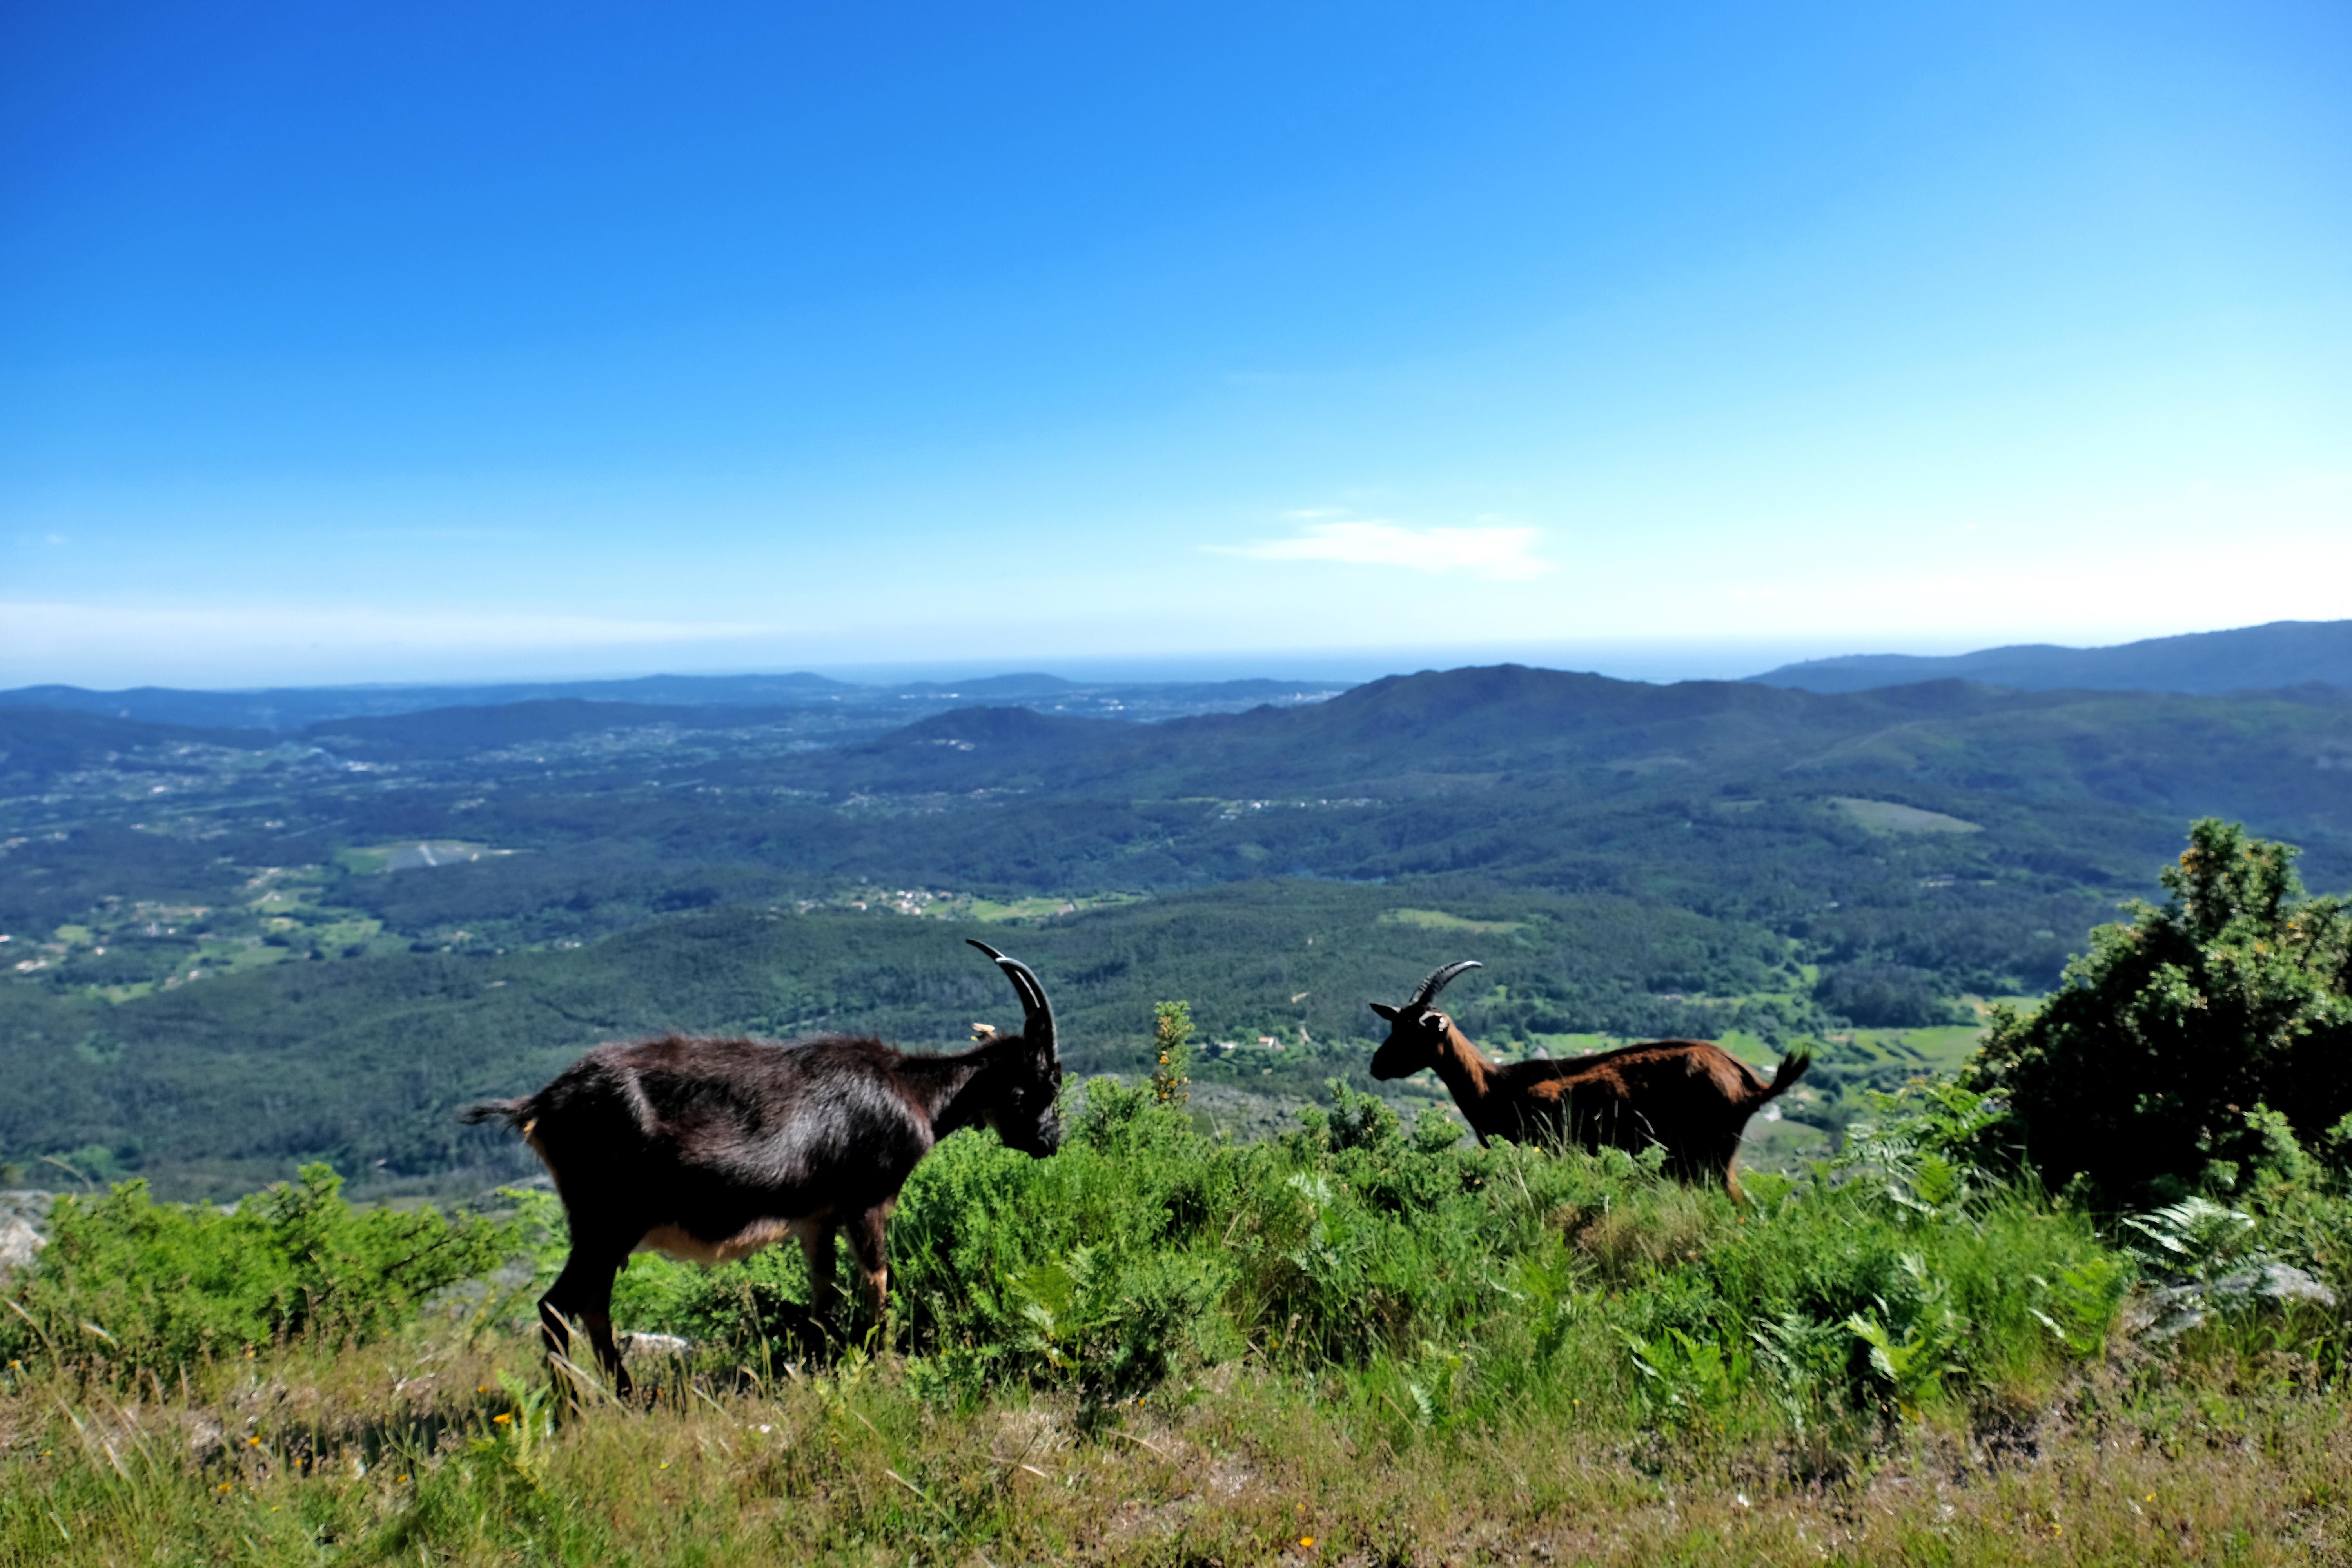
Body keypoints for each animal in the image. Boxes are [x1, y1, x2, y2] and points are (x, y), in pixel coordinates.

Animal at [454, 940, 1063, 1392]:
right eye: (1046, 1083)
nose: (1053, 1141)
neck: (913, 1093)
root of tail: (540, 1105)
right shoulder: (866, 1200)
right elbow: (876, 1280)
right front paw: (881, 1361)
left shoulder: (818, 1215)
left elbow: (824, 1287)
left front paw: (816, 1362)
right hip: (608, 1219)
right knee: (557, 1306)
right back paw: (575, 1413)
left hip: (604, 1228)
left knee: (591, 1305)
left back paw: (625, 1396)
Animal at [1374, 959, 1806, 1203]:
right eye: (1393, 1025)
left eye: (1415, 1032)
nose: (1376, 1066)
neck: (1496, 1086)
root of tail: (1749, 1083)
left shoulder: (1543, 1148)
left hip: (1710, 1156)